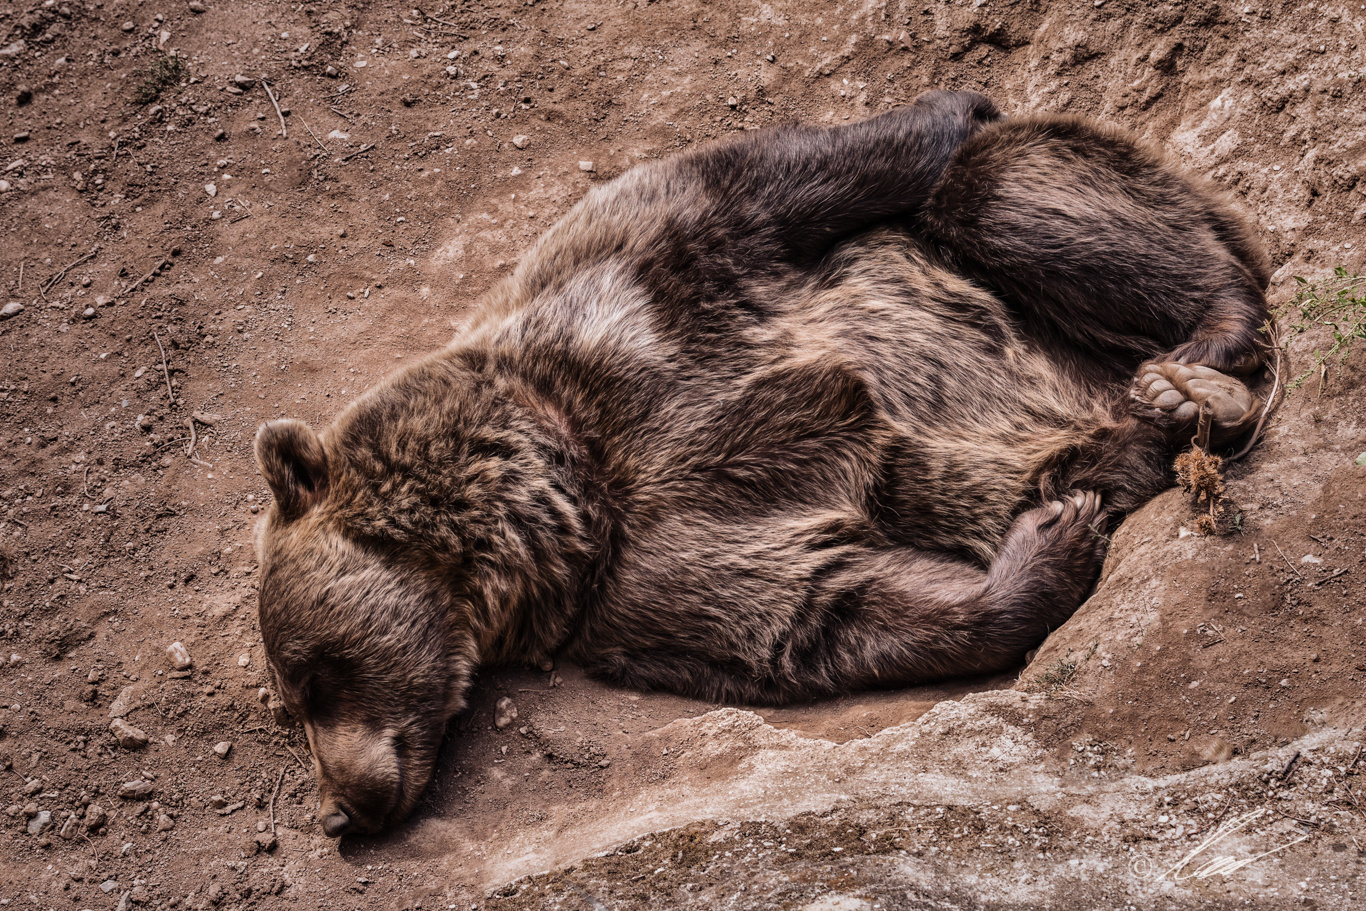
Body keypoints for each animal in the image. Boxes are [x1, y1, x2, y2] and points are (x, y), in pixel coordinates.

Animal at [254, 88, 1267, 835]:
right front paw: (1052, 537)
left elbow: (807, 170)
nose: (336, 811)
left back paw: (1192, 372)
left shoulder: (650, 268)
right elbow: (822, 609)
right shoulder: (644, 583)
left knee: (1010, 192)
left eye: (308, 678)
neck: (570, 471)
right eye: (292, 703)